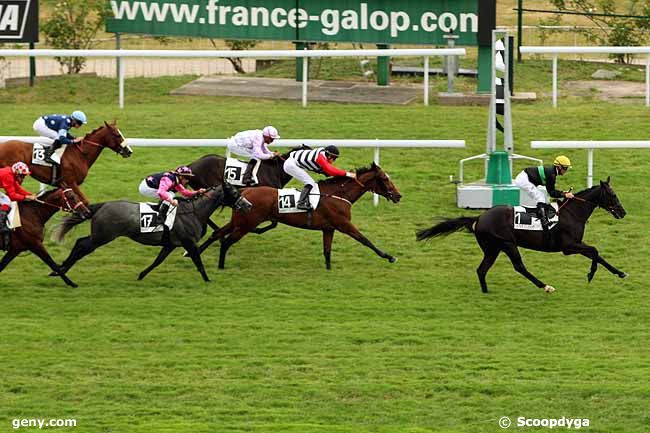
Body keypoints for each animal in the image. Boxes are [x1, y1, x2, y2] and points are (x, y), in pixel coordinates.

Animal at [0, 120, 133, 204]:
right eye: (117, 135)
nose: (129, 151)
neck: (80, 154)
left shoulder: (65, 185)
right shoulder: (71, 182)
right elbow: (85, 201)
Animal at [52, 184, 246, 282]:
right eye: (234, 191)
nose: (247, 205)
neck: (194, 212)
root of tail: (103, 205)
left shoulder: (170, 244)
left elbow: (157, 261)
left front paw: (141, 275)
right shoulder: (189, 242)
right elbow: (198, 262)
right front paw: (207, 280)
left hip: (99, 236)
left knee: (80, 242)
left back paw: (59, 270)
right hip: (102, 237)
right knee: (82, 245)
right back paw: (60, 270)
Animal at [200, 163, 400, 270]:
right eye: (385, 179)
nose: (398, 196)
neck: (338, 194)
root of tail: (245, 191)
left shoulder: (329, 228)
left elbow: (327, 250)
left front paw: (328, 269)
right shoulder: (343, 224)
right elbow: (365, 240)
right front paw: (389, 256)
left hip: (238, 221)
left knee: (217, 234)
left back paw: (195, 253)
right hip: (246, 224)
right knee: (226, 241)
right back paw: (220, 265)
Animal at [418, 176, 624, 294]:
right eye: (613, 195)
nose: (623, 212)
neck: (572, 213)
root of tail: (480, 217)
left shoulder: (576, 244)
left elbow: (598, 254)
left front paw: (620, 272)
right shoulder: (568, 246)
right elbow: (595, 251)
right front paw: (591, 274)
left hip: (492, 249)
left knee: (482, 269)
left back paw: (486, 292)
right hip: (507, 244)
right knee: (519, 266)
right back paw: (545, 286)